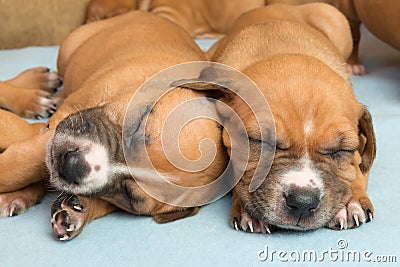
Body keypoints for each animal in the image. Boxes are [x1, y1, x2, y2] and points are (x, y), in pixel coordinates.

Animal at [0, 11, 228, 242]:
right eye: (137, 124)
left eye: (129, 195)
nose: (73, 166)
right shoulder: (63, 122)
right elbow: (24, 164)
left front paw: (77, 210)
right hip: (68, 50)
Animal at [179, 3, 376, 234]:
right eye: (261, 141)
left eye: (341, 150)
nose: (302, 202)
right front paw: (248, 211)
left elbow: (358, 166)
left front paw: (350, 202)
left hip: (336, 20)